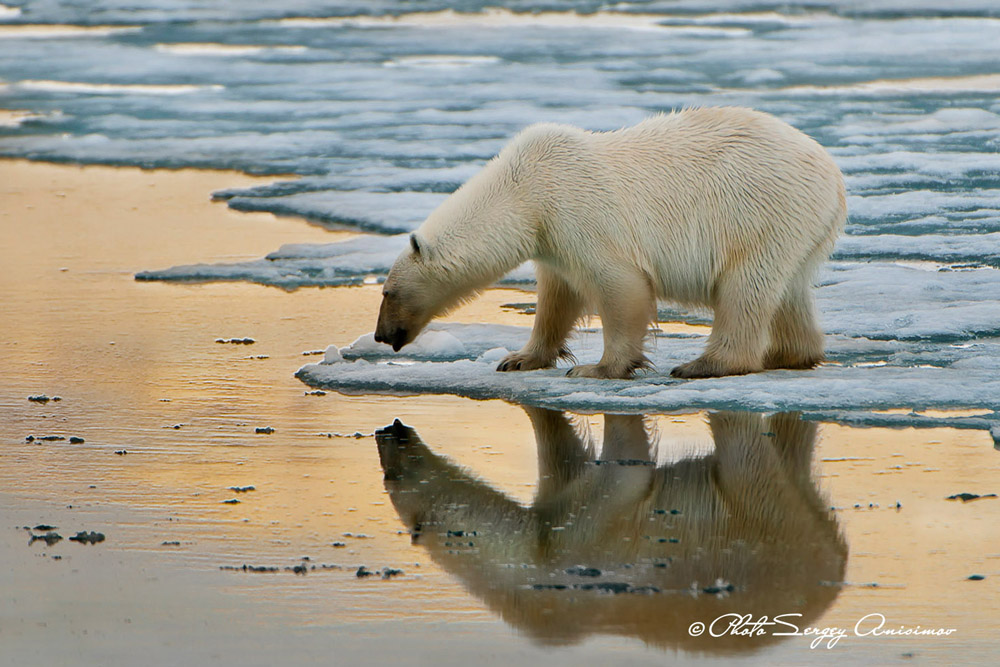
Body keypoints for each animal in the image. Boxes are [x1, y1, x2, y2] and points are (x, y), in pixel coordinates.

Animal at [374, 107, 844, 378]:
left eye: (387, 292)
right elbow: (556, 298)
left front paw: (598, 368)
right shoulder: (551, 238)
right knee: (788, 291)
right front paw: (518, 358)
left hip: (759, 211)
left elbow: (620, 286)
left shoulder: (577, 212)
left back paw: (704, 364)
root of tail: (833, 175)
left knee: (744, 286)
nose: (380, 335)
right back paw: (789, 355)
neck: (526, 189)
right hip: (798, 227)